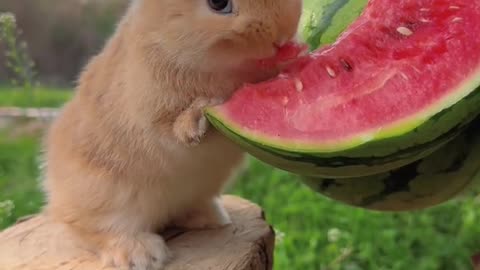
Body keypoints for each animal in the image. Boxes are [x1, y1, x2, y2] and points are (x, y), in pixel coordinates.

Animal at [42, 0, 304, 268]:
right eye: (219, 4)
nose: (284, 34)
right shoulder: (156, 120)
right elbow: (177, 131)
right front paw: (196, 119)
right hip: (105, 194)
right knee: (92, 229)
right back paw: (142, 254)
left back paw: (213, 217)